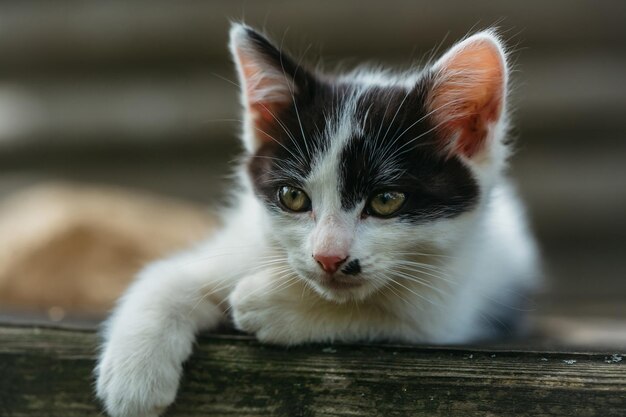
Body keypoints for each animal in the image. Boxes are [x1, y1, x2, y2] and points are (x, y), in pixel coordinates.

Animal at [96, 23, 536, 416]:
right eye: (293, 197)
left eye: (386, 201)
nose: (328, 257)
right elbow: (167, 276)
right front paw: (133, 378)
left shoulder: (451, 306)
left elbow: (387, 314)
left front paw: (269, 304)